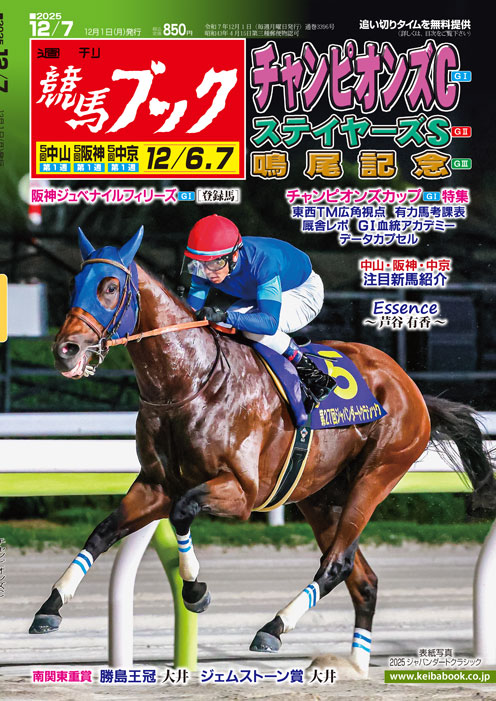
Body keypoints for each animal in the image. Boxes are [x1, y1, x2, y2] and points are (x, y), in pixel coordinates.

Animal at [30, 227, 496, 676]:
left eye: (110, 286)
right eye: (73, 283)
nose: (66, 349)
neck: (191, 384)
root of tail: (412, 388)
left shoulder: (241, 493)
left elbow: (182, 512)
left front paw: (195, 590)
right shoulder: (155, 485)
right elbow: (103, 531)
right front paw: (50, 607)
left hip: (376, 475)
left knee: (337, 564)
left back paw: (273, 628)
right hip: (320, 497)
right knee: (363, 580)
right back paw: (354, 664)